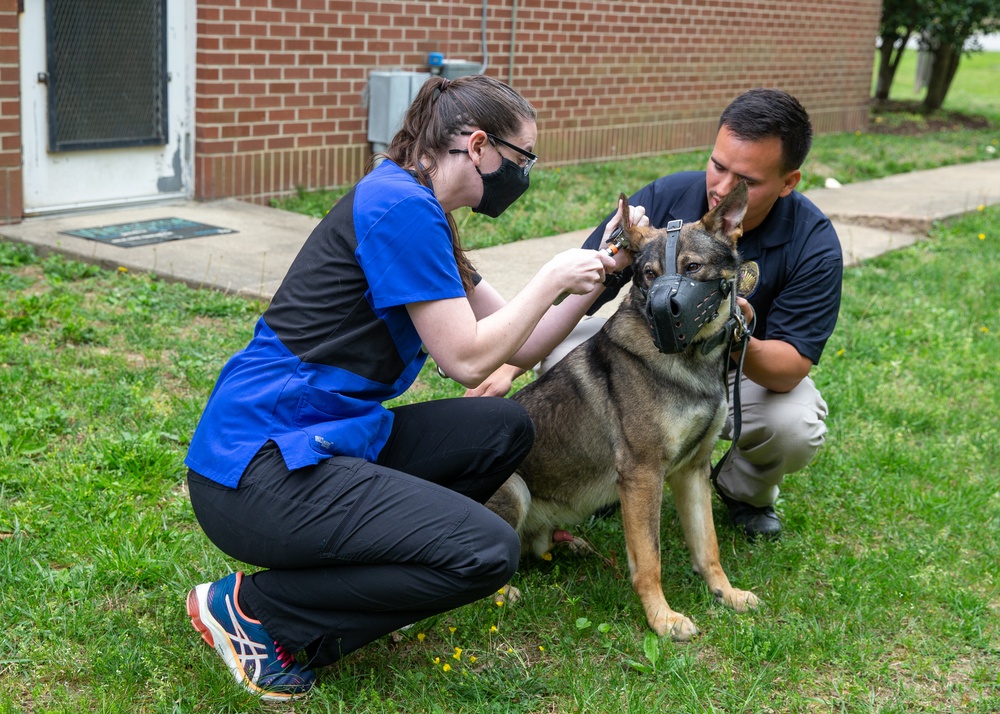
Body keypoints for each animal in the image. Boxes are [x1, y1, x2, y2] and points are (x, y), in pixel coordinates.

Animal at [484, 181, 756, 636]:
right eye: (649, 274)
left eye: (693, 267)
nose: (666, 311)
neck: (690, 361)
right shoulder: (643, 476)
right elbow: (649, 561)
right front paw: (662, 619)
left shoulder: (692, 471)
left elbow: (709, 548)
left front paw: (725, 594)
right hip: (515, 489)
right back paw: (501, 592)